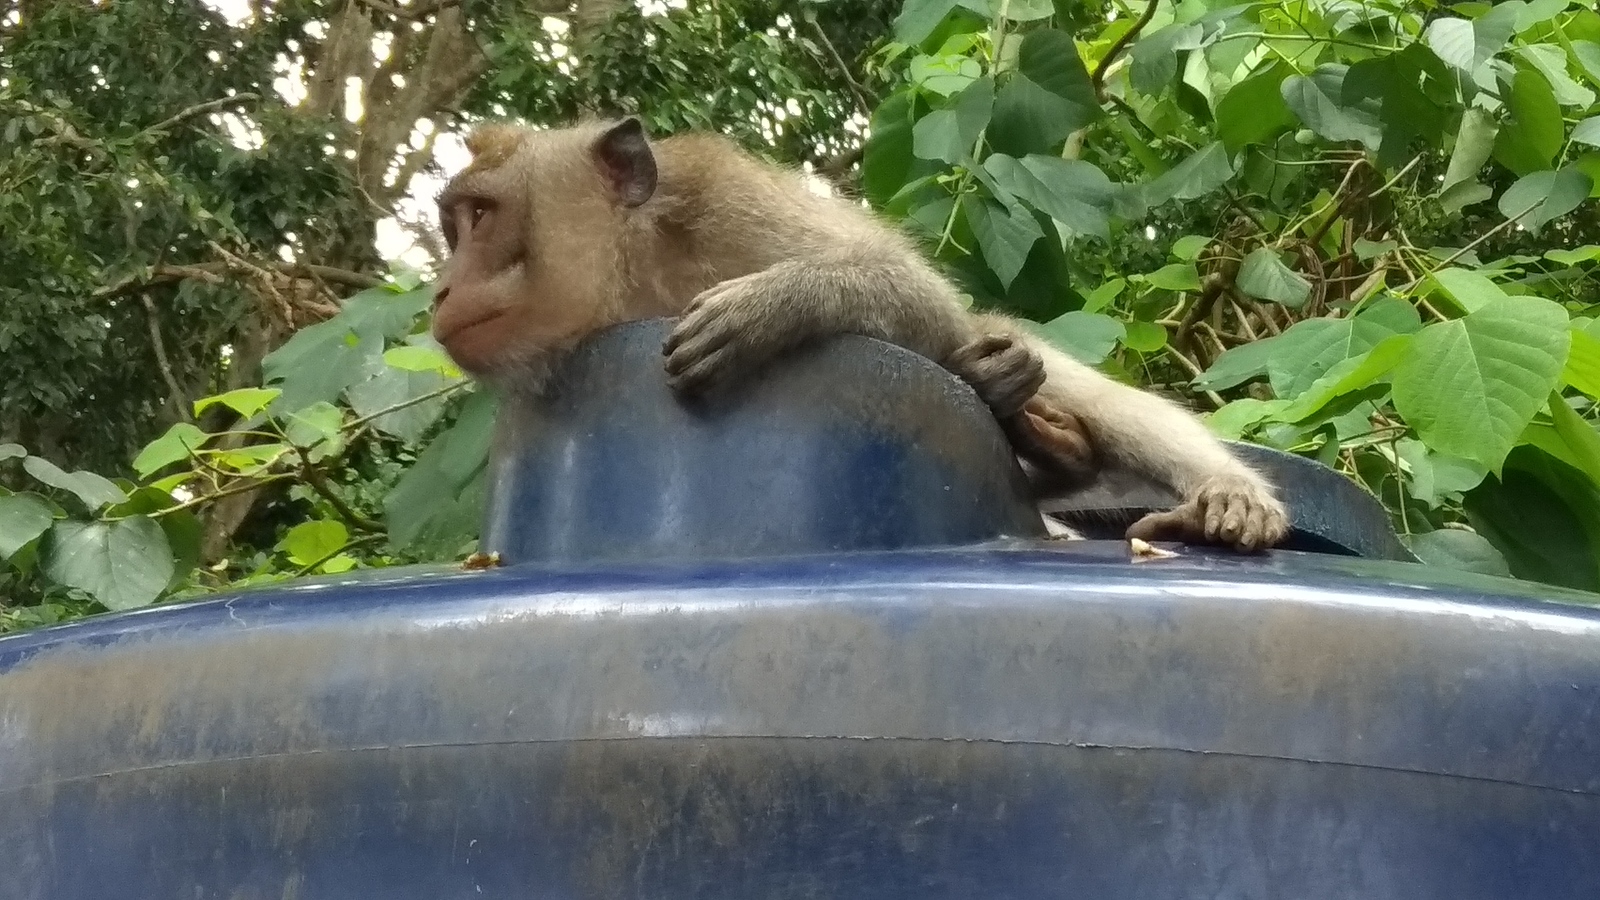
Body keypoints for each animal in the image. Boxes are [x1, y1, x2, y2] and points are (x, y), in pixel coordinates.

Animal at [428, 117, 1286, 554]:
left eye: (481, 216)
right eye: (451, 224)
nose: (439, 288)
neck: (636, 266)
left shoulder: (726, 204)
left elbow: (926, 301)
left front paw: (771, 308)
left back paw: (1217, 493)